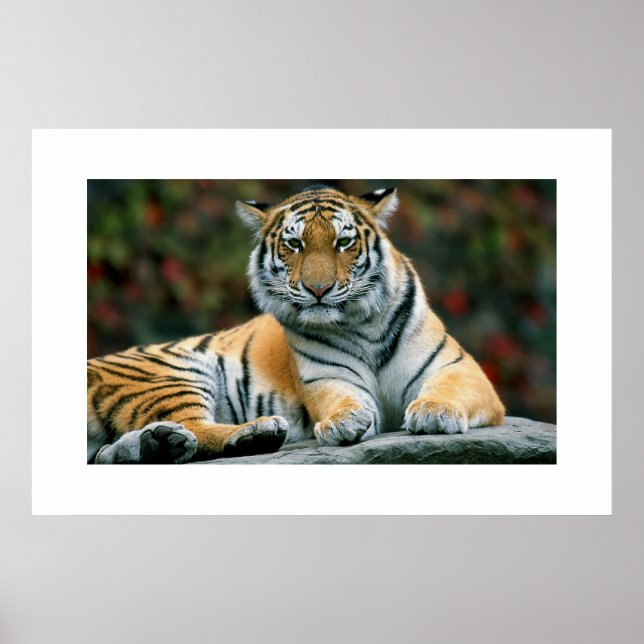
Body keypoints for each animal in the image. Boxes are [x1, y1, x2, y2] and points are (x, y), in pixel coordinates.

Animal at [87, 185, 505, 464]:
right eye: (295, 245)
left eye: (343, 242)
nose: (318, 289)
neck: (362, 325)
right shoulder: (325, 377)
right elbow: (340, 398)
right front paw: (343, 422)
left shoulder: (458, 367)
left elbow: (448, 388)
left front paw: (434, 412)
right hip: (171, 374)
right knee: (197, 428)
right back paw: (254, 434)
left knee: (109, 452)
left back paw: (157, 444)